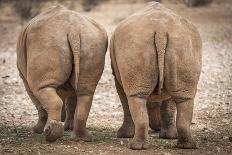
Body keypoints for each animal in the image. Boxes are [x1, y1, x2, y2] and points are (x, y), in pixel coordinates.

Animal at [17, 5, 108, 142]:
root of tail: (73, 30)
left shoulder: (25, 80)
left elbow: (39, 104)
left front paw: (37, 130)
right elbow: (71, 101)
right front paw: (67, 126)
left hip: (46, 39)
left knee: (41, 88)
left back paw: (50, 134)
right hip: (91, 40)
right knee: (85, 92)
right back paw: (81, 138)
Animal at [109, 1, 202, 150]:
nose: (156, 127)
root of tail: (161, 30)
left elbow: (126, 102)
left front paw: (123, 135)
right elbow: (169, 104)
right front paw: (169, 136)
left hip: (141, 44)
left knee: (137, 97)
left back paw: (135, 146)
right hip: (184, 44)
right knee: (183, 97)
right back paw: (186, 146)